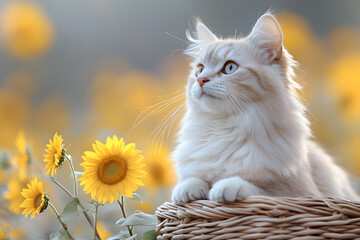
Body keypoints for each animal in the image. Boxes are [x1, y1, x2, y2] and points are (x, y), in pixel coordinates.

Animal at [170, 12, 358, 204]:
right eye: (199, 70)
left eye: (230, 67)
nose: (201, 80)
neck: (224, 127)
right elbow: (193, 178)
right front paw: (186, 191)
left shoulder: (300, 193)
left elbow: (260, 190)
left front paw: (225, 187)